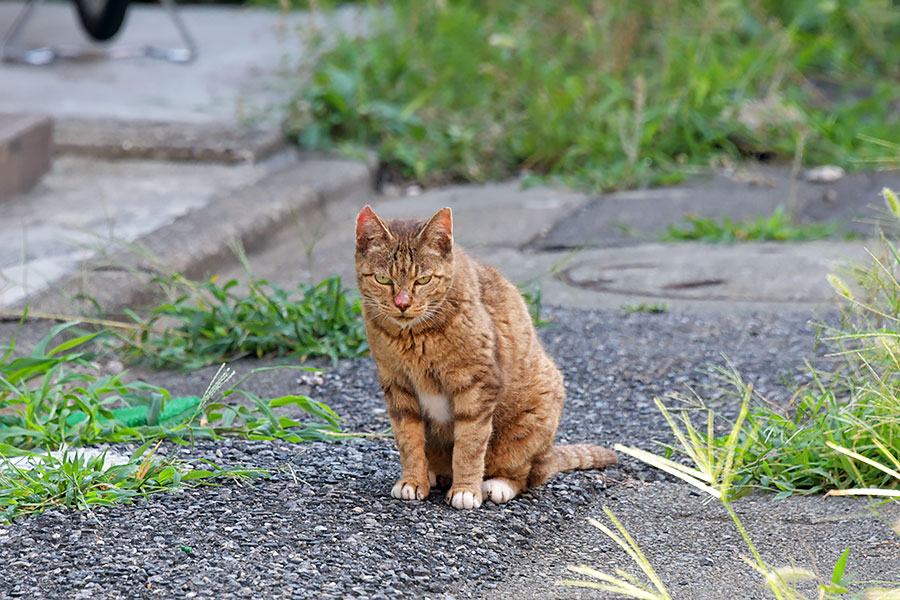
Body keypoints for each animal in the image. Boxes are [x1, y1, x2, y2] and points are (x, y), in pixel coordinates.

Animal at [356, 204, 616, 508]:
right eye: (383, 279)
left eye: (423, 279)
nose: (402, 304)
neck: (413, 338)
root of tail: (547, 456)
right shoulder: (397, 385)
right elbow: (408, 440)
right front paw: (412, 480)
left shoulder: (476, 383)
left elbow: (470, 443)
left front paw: (466, 490)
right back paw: (433, 474)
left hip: (535, 414)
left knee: (524, 475)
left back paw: (497, 484)